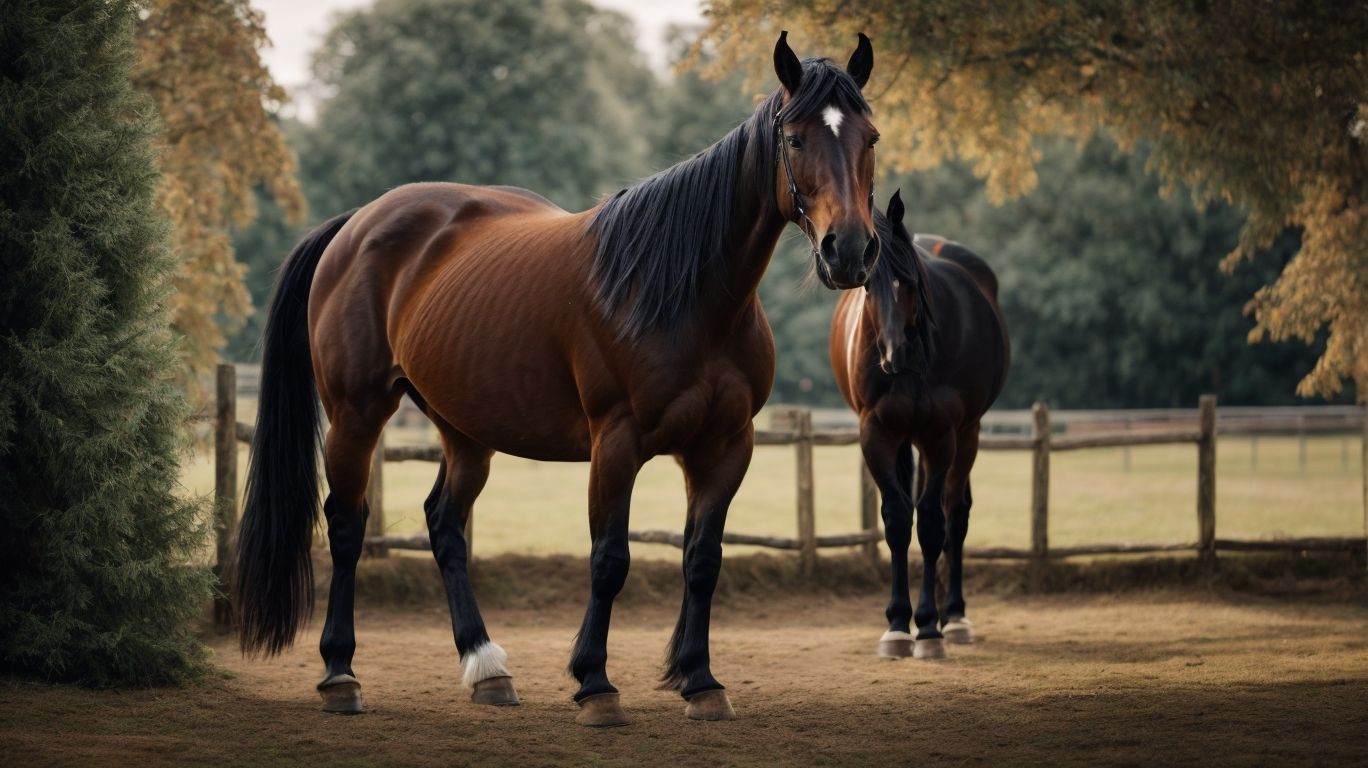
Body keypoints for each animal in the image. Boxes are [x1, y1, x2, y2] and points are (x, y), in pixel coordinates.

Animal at [233, 32, 882, 727]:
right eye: (796, 139)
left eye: (869, 136)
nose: (849, 250)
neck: (686, 297)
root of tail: (357, 224)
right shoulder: (617, 444)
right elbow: (610, 559)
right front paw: (595, 684)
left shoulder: (726, 447)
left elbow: (703, 559)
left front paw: (701, 680)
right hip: (357, 414)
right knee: (348, 525)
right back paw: (340, 673)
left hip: (464, 429)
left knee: (444, 524)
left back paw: (486, 667)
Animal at [829, 191, 1010, 662]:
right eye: (867, 285)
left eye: (906, 281)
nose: (891, 356)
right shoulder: (877, 434)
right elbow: (896, 519)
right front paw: (897, 624)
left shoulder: (941, 435)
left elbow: (931, 524)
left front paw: (927, 626)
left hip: (965, 436)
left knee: (955, 515)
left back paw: (955, 617)